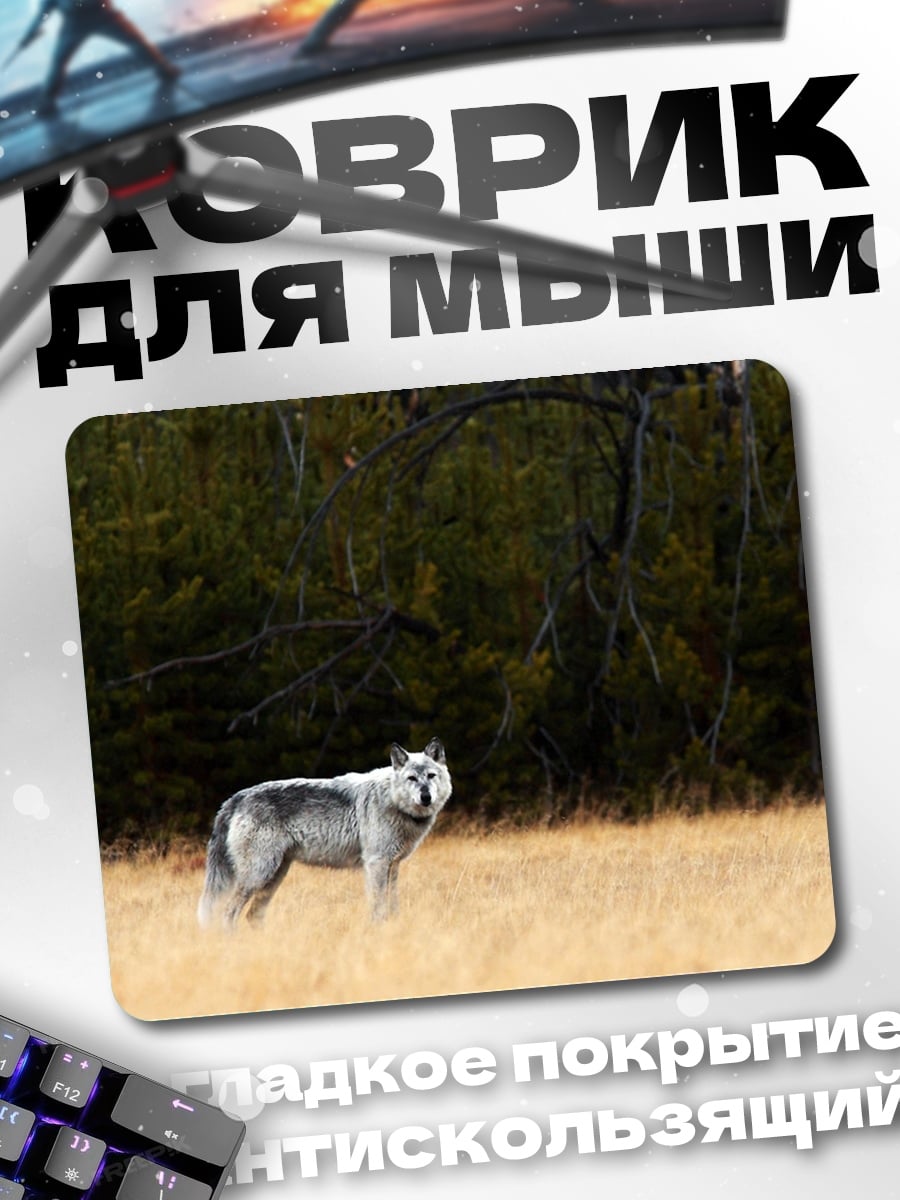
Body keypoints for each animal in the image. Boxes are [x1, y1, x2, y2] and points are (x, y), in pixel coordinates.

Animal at [197, 739, 451, 926]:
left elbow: (393, 905)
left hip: (274, 875)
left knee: (252, 915)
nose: (426, 797)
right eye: (412, 778)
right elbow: (379, 907)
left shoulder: (393, 865)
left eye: (431, 776)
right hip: (258, 874)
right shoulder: (376, 863)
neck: (392, 800)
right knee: (228, 913)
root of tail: (236, 798)